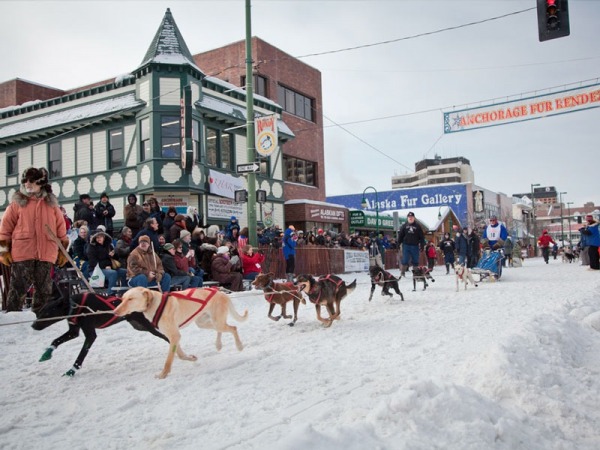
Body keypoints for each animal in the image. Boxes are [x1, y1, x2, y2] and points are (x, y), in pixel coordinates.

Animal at [113, 286, 247, 378]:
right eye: (122, 299)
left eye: (130, 299)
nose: (114, 311)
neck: (156, 305)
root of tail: (222, 293)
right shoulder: (171, 337)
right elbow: (180, 354)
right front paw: (190, 358)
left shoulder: (174, 335)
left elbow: (168, 361)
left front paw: (162, 375)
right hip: (204, 323)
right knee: (221, 330)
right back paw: (218, 344)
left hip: (216, 322)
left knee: (233, 328)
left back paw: (239, 346)